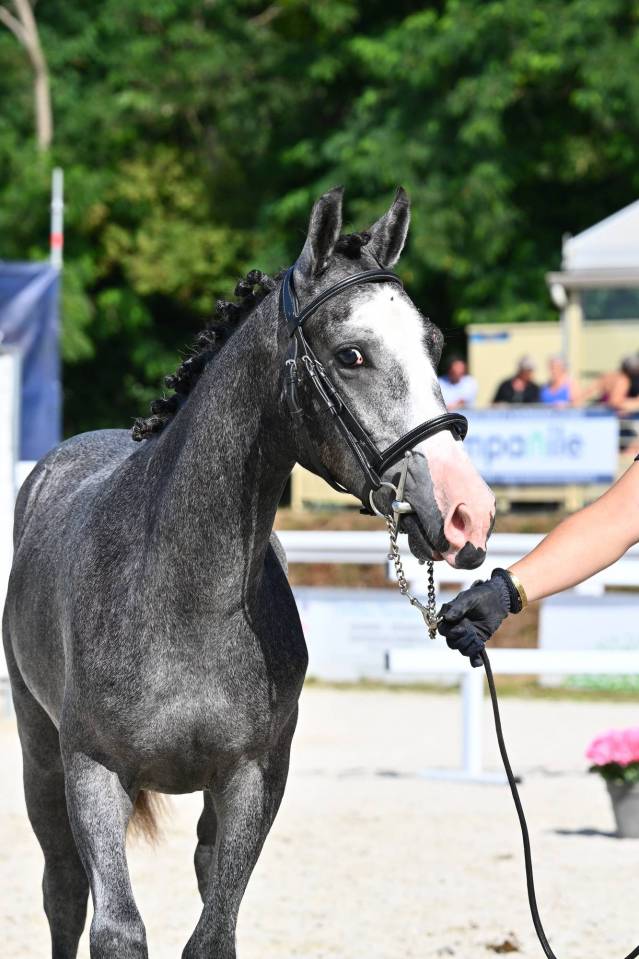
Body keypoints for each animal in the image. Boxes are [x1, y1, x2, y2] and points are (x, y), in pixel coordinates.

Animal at [3, 186, 495, 959]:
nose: (466, 512)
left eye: (435, 345)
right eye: (351, 353)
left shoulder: (252, 779)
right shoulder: (92, 771)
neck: (182, 595)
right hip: (39, 756)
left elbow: (214, 930)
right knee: (63, 892)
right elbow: (115, 928)